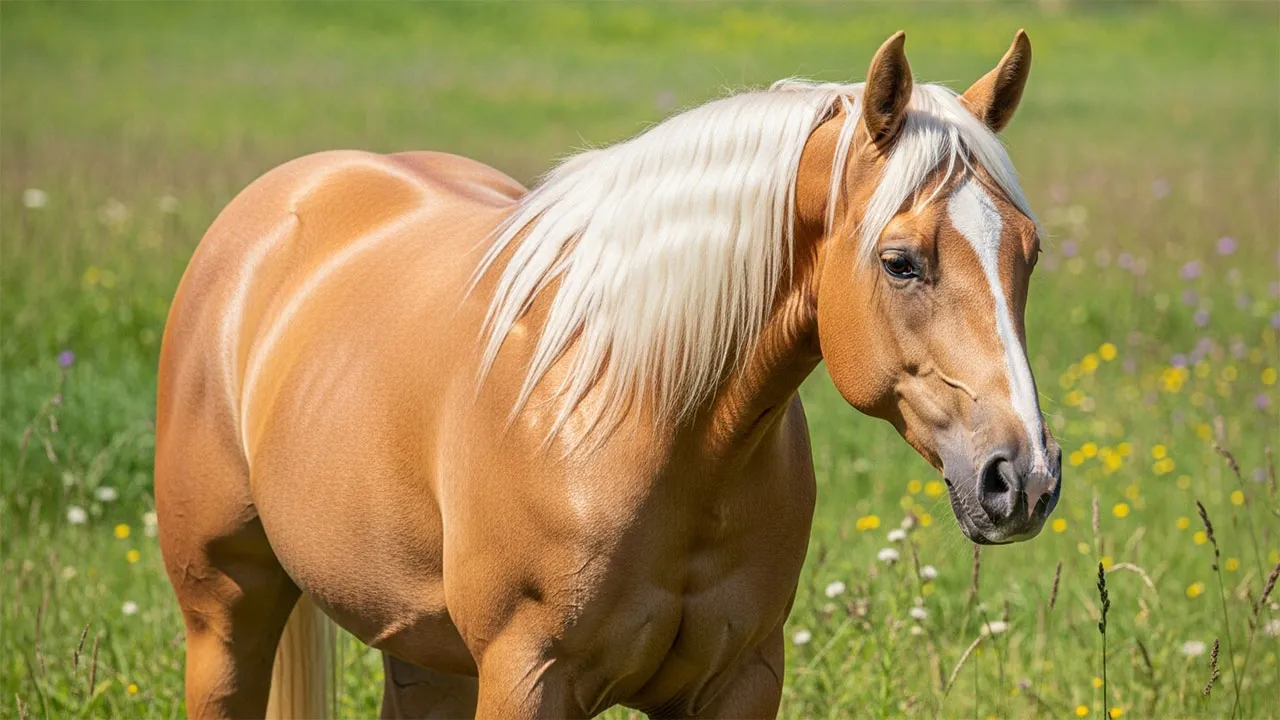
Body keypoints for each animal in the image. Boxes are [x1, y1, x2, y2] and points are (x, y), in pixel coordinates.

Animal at [155, 30, 1061, 719]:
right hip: (226, 616)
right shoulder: (527, 678)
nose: (1022, 480)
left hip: (422, 650)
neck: (642, 414)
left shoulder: (739, 681)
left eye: (1030, 251)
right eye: (900, 261)